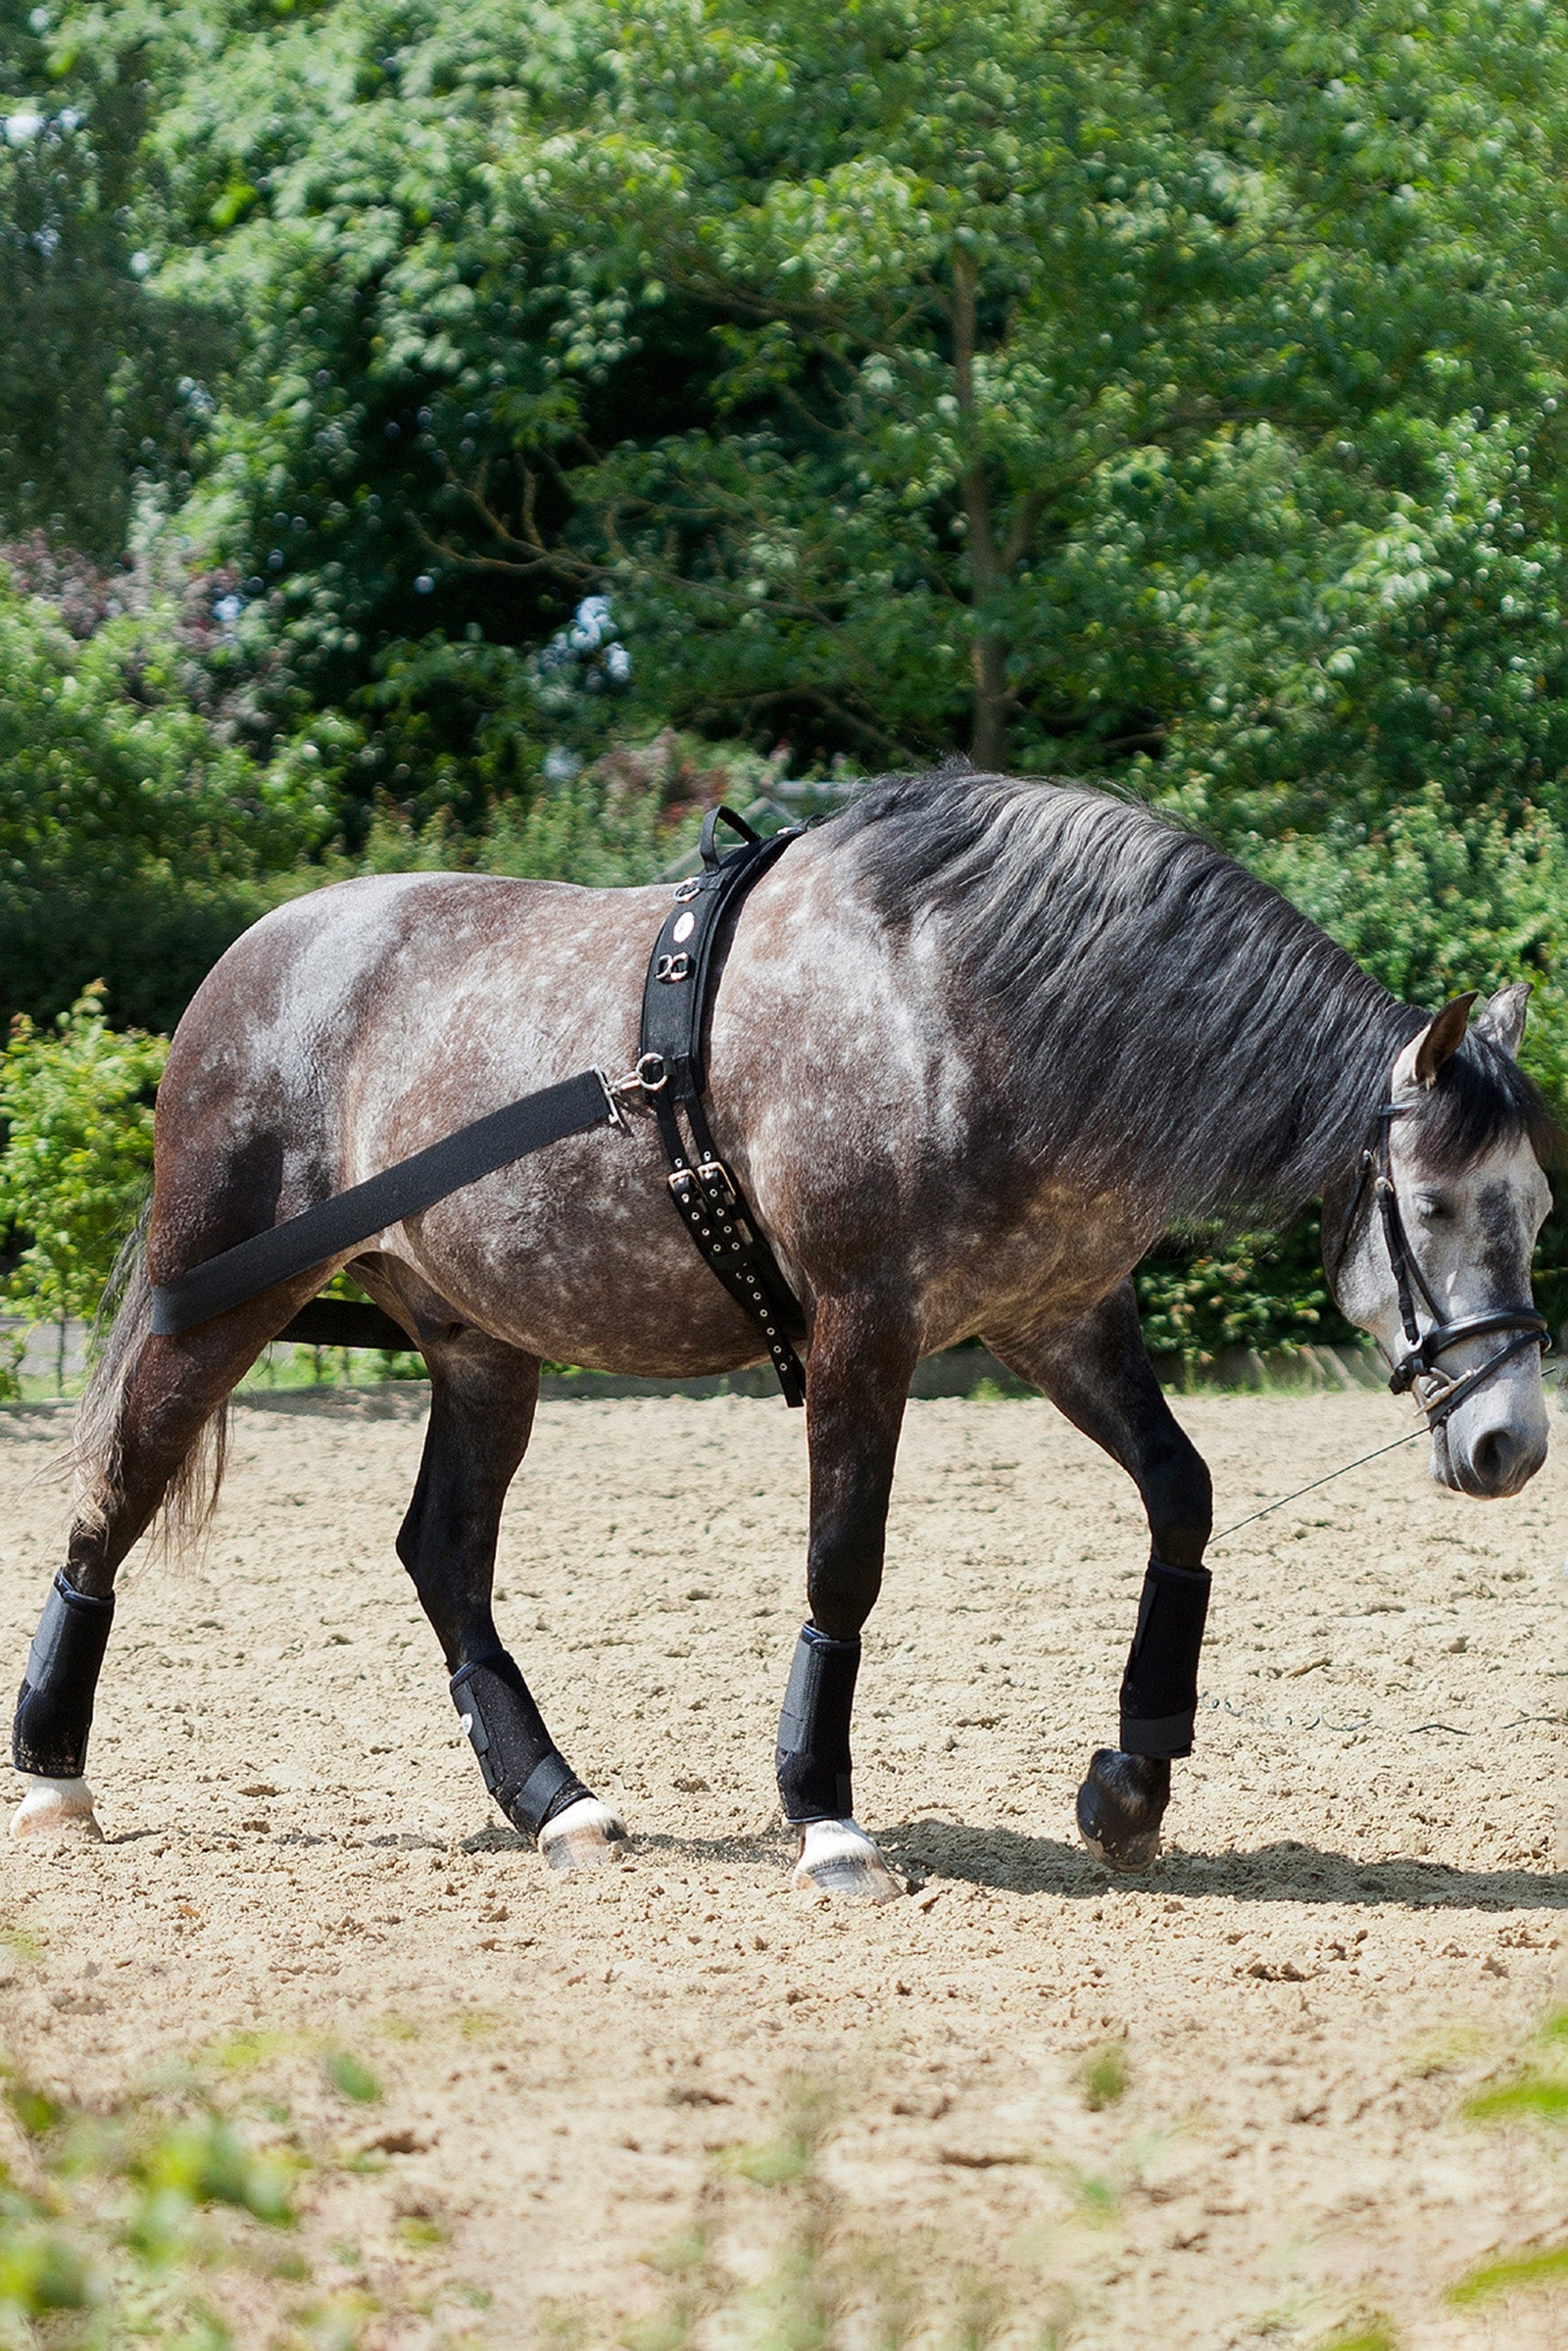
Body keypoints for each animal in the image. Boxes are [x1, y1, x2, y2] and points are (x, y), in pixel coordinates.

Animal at [9, 770, 1556, 1899]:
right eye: (1430, 1201)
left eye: (1534, 1201)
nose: (1509, 1441)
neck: (973, 1013)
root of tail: (254, 956)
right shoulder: (868, 1331)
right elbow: (844, 1563)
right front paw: (825, 1816)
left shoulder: (1057, 1320)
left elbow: (1184, 1494)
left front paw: (1130, 1785)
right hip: (225, 1296)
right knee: (115, 1491)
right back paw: (54, 1775)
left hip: (482, 1347)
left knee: (442, 1555)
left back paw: (556, 1801)